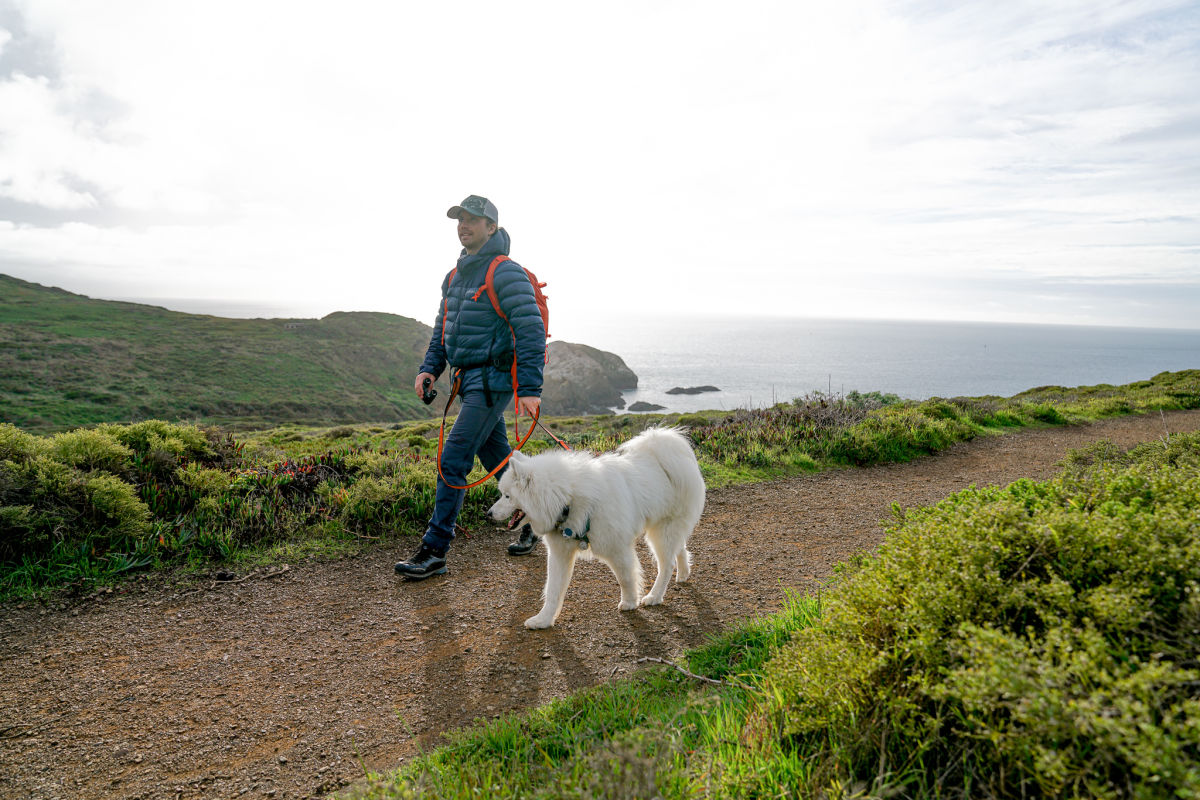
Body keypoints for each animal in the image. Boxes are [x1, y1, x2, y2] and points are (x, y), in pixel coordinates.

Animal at [492, 429, 705, 628]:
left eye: (507, 496)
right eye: (502, 494)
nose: (489, 513)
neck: (567, 498)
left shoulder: (617, 548)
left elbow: (626, 578)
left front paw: (630, 602)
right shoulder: (560, 553)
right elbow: (552, 590)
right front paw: (543, 620)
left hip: (662, 531)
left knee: (667, 564)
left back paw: (654, 596)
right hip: (668, 530)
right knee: (680, 549)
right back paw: (683, 573)